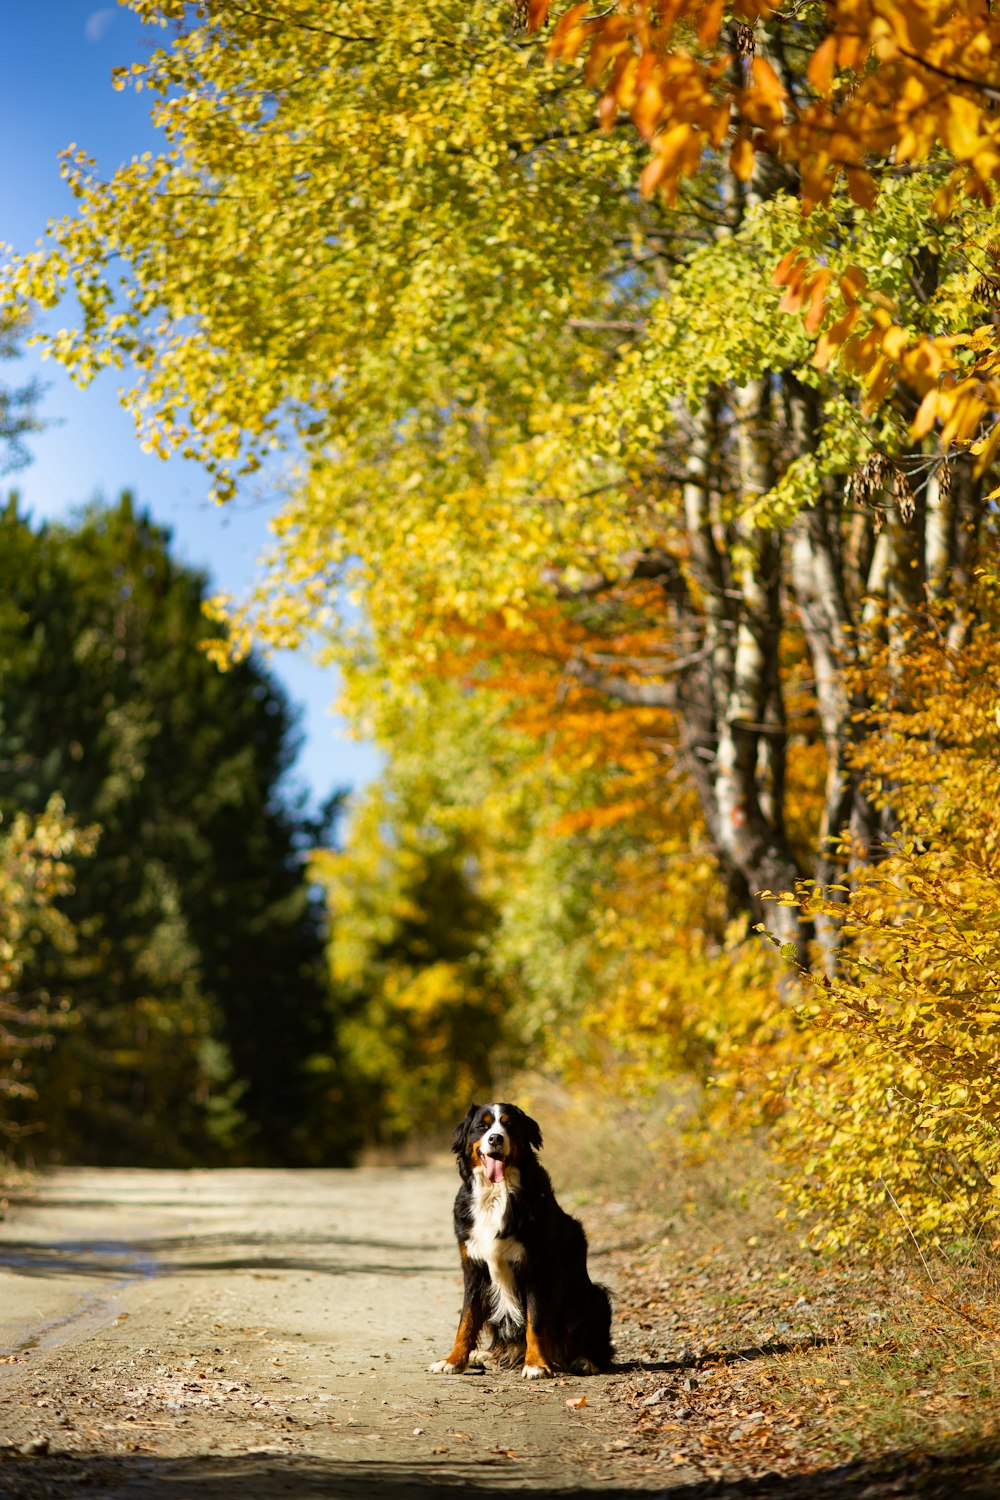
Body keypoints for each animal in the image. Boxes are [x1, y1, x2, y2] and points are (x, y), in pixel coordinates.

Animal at [428, 1104, 614, 1380]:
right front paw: (453, 1360)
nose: (495, 1138)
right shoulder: (474, 1268)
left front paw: (536, 1364)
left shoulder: (536, 1269)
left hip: (594, 1295)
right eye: (482, 1126)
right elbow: (466, 1320)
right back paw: (486, 1355)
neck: (497, 1194)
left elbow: (534, 1321)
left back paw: (585, 1361)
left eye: (509, 1125)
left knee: (598, 1346)